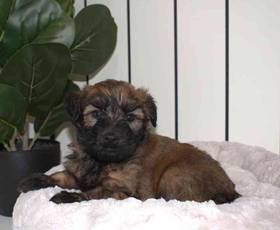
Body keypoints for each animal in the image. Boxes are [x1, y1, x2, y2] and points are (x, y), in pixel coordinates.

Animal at [18, 78, 241, 203]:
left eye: (129, 117)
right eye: (96, 114)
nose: (111, 138)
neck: (100, 162)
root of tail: (231, 191)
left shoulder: (121, 188)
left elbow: (95, 192)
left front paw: (69, 196)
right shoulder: (80, 174)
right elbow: (63, 175)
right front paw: (37, 179)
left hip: (174, 175)